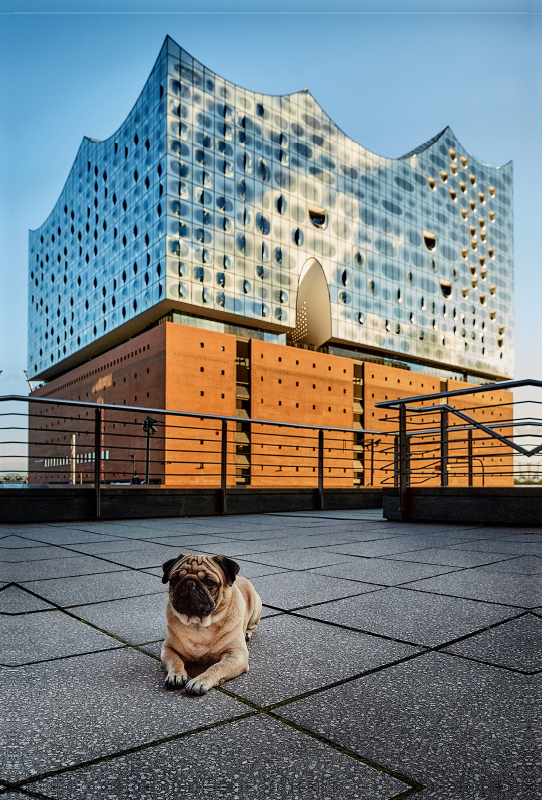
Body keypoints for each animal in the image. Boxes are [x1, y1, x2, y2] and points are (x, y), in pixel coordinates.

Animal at [162, 556, 264, 692]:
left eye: (210, 582)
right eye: (175, 579)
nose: (189, 583)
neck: (198, 624)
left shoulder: (236, 654)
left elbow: (217, 667)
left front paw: (200, 681)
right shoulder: (168, 649)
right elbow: (175, 661)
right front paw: (176, 675)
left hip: (255, 609)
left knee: (252, 625)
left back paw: (247, 633)